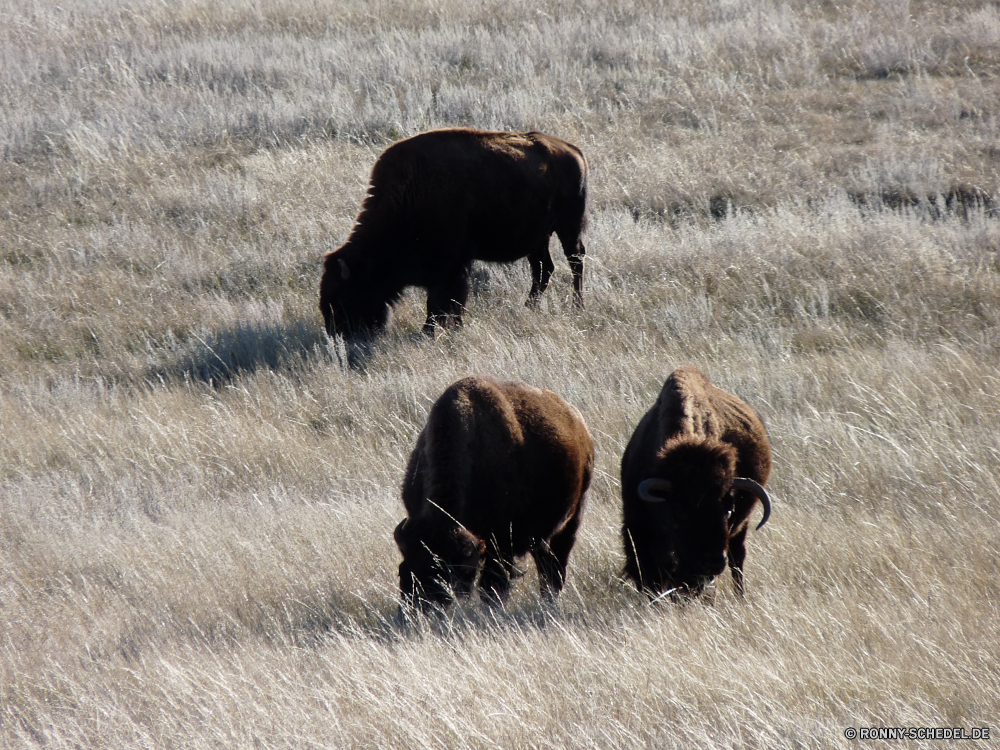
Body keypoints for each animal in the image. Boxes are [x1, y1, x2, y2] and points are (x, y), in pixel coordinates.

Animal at [318, 129, 584, 338]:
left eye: (345, 297)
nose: (338, 335)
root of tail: (573, 151)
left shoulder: (452, 266)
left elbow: (442, 301)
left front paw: (432, 331)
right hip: (539, 238)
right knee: (543, 269)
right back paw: (528, 307)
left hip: (569, 226)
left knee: (575, 261)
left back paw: (578, 307)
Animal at [390, 376, 592, 612]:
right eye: (402, 571)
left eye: (445, 574)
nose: (414, 612)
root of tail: (578, 421)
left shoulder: (501, 543)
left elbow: (493, 586)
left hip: (573, 516)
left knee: (558, 563)